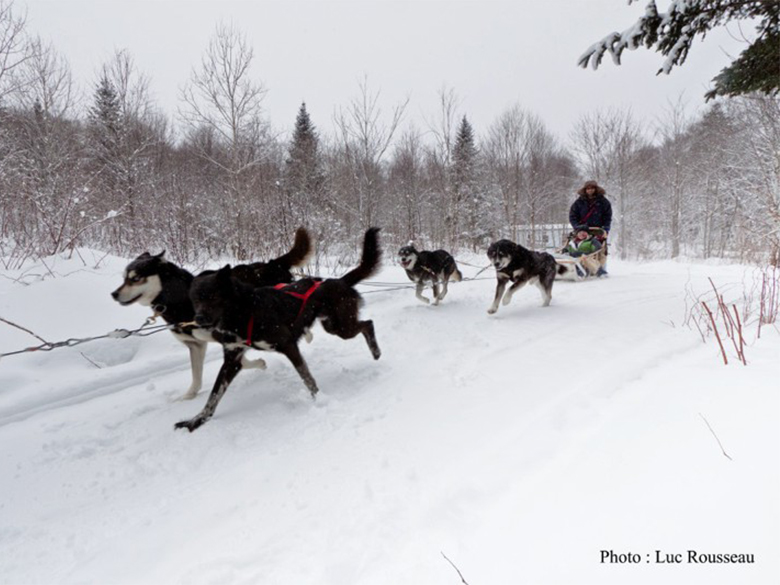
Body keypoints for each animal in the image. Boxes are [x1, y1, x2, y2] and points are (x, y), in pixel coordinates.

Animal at [110, 226, 310, 400]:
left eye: (136, 278)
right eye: (124, 278)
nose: (114, 294)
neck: (181, 299)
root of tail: (273, 264)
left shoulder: (230, 338)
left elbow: (242, 361)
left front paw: (259, 363)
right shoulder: (195, 345)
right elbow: (196, 375)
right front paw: (189, 395)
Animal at [176, 226, 384, 432]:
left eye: (213, 297)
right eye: (195, 300)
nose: (198, 318)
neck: (247, 312)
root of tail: (338, 281)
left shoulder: (288, 346)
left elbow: (307, 378)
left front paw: (320, 400)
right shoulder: (232, 361)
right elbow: (214, 396)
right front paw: (196, 420)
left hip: (341, 327)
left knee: (369, 323)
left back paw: (376, 352)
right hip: (332, 326)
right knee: (365, 324)